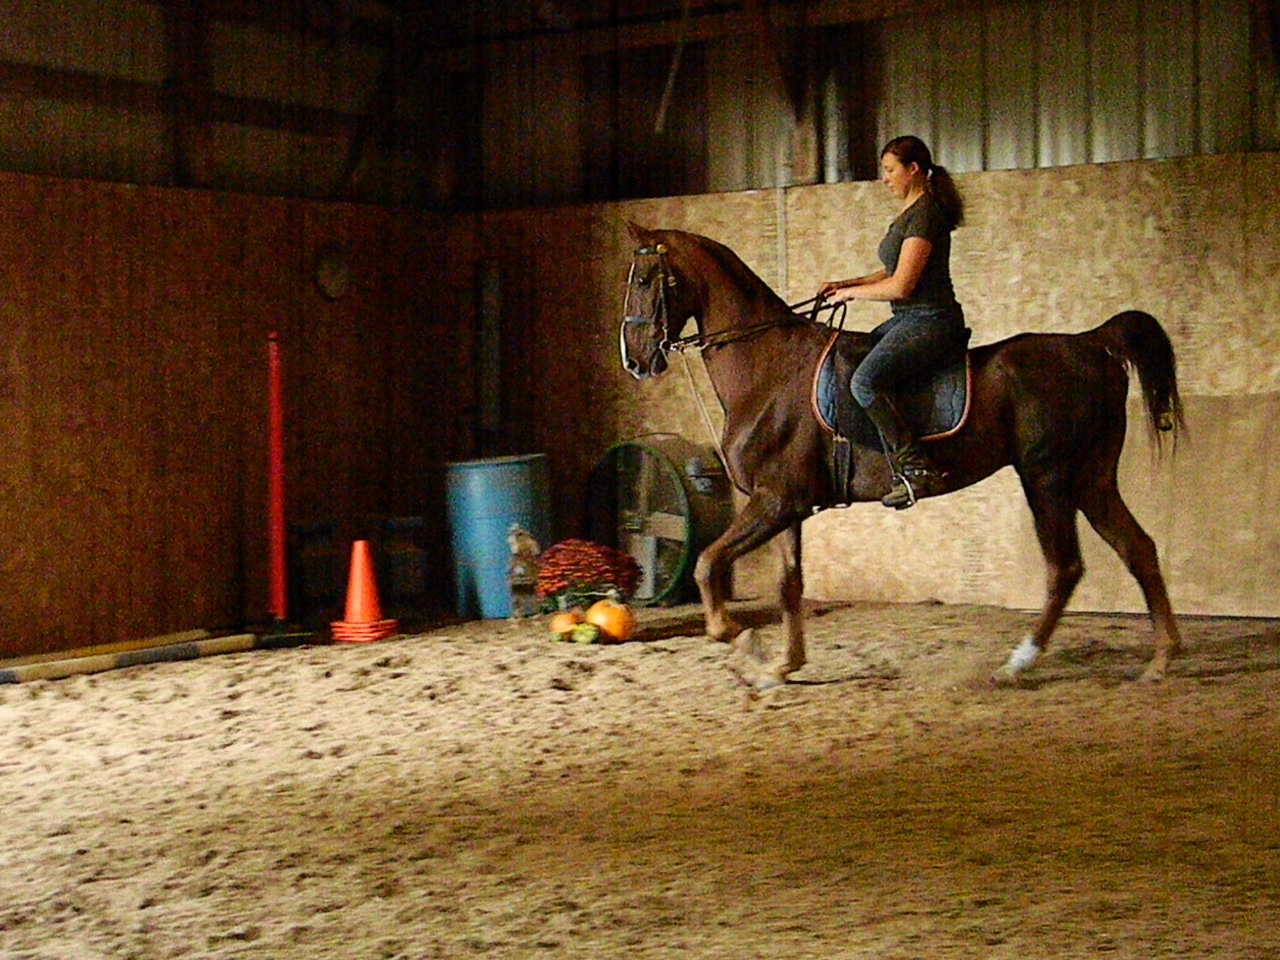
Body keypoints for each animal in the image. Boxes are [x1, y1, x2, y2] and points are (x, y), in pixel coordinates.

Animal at [619, 224, 1187, 691]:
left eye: (645, 279)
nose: (634, 361)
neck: (768, 369)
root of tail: (1089, 344)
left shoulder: (776, 501)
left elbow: (707, 565)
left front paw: (745, 643)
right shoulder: (784, 505)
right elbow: (788, 583)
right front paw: (784, 665)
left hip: (1047, 477)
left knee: (1064, 565)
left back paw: (1018, 662)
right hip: (1091, 478)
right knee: (1137, 549)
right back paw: (1161, 659)